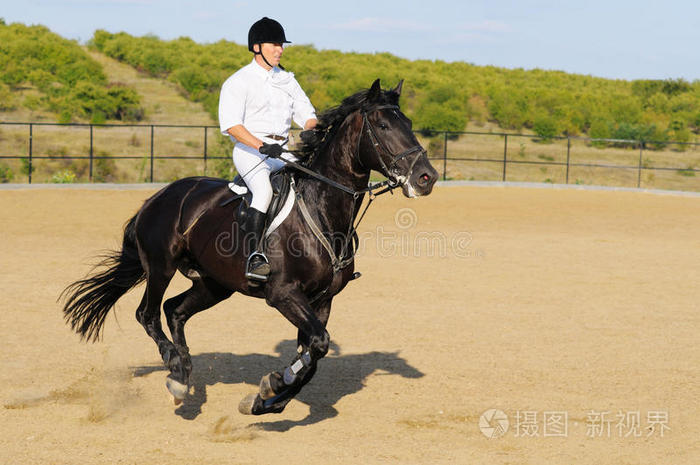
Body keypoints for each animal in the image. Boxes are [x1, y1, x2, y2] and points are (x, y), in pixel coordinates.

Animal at [64, 79, 438, 414]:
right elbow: (318, 345)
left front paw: (268, 397)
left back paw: (182, 376)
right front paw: (273, 387)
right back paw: (175, 369)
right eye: (384, 125)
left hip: (215, 284)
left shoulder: (322, 300)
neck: (321, 209)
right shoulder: (283, 294)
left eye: (408, 124)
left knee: (175, 310)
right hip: (161, 266)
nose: (427, 177)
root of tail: (157, 197)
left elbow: (312, 355)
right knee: (148, 313)